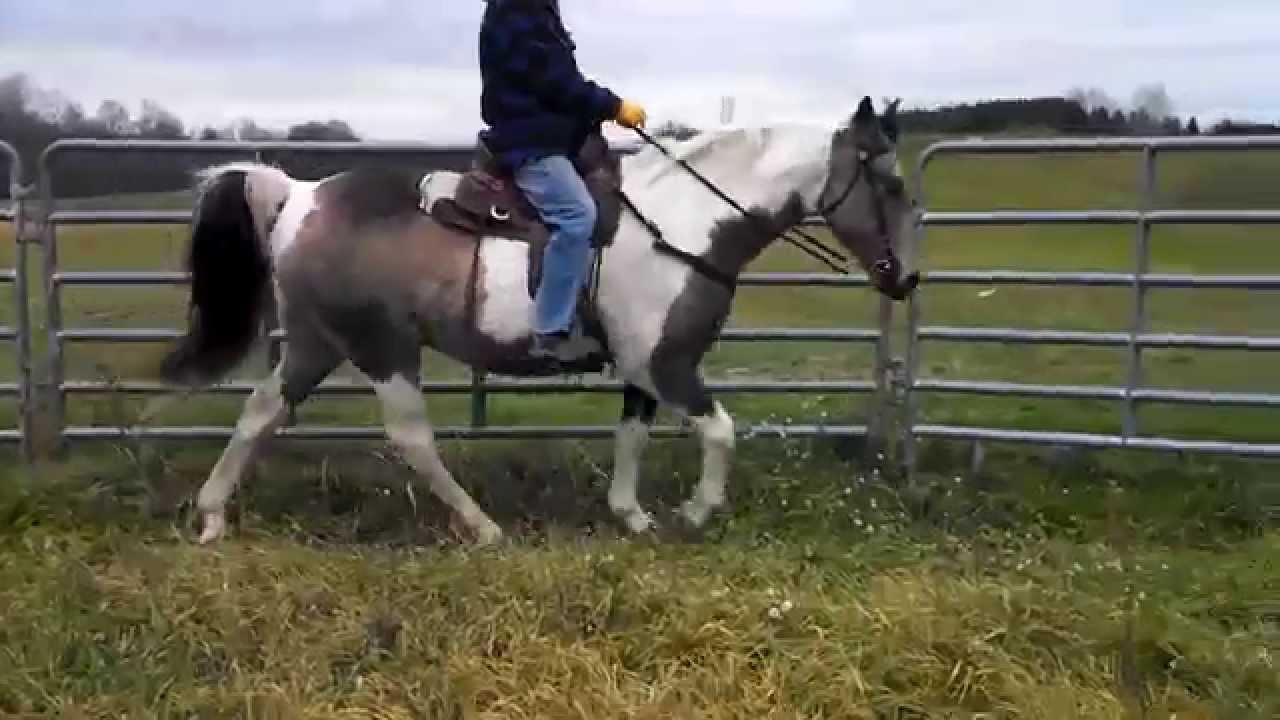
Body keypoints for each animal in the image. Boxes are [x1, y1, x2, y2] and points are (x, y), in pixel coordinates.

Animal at [160, 96, 919, 545]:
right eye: (891, 183)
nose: (907, 279)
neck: (684, 223)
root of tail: (299, 194)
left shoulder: (643, 370)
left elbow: (632, 436)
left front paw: (631, 513)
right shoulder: (667, 364)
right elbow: (721, 431)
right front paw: (697, 511)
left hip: (317, 343)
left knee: (261, 411)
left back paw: (212, 515)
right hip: (382, 347)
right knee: (411, 439)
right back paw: (482, 527)